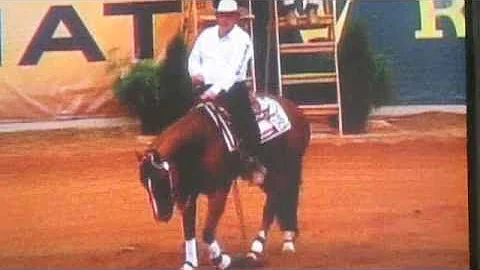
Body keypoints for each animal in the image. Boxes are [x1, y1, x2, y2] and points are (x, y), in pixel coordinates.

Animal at [138, 92, 312, 268]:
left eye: (161, 180)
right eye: (145, 184)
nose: (161, 216)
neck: (202, 143)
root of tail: (295, 110)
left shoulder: (219, 190)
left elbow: (207, 232)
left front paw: (223, 260)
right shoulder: (189, 195)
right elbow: (189, 230)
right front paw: (190, 263)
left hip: (284, 169)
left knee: (274, 203)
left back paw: (257, 249)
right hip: (269, 176)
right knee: (280, 199)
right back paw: (285, 239)